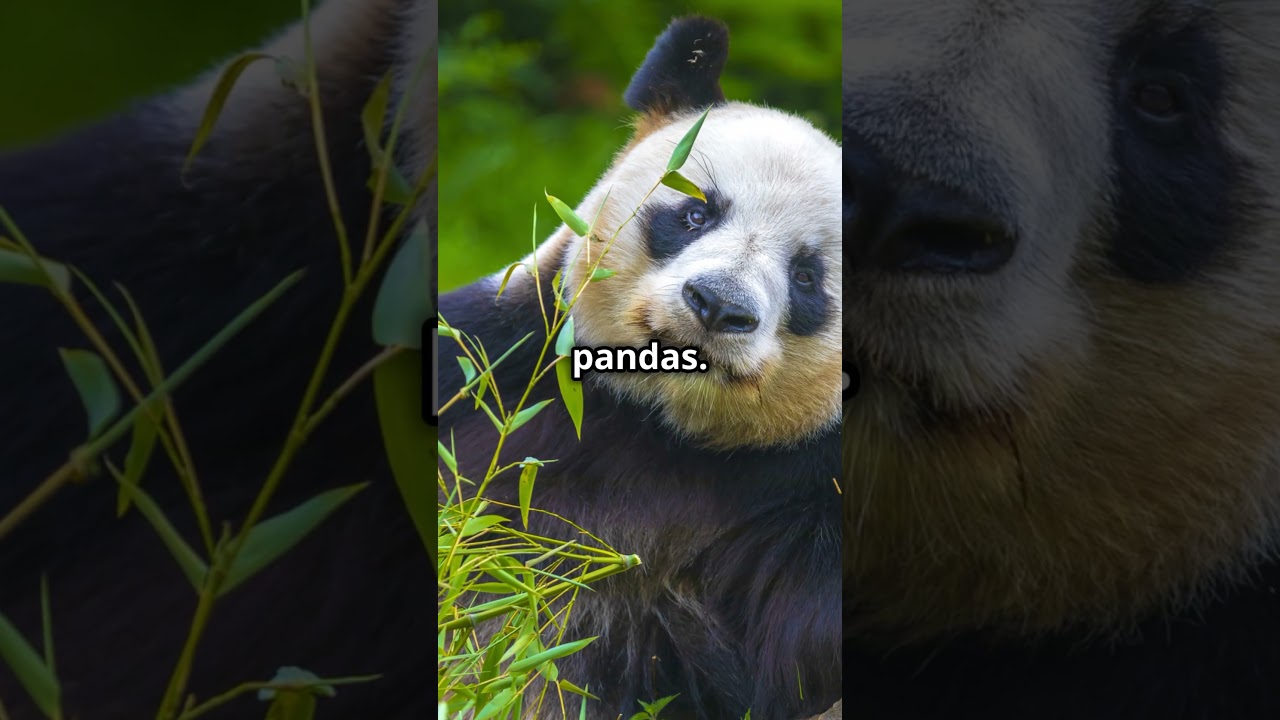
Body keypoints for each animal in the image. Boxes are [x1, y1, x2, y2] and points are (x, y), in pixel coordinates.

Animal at [437, 16, 842, 720]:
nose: (717, 304)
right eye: (695, 212)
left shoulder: (813, 495)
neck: (655, 422)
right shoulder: (492, 362)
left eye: (807, 276)